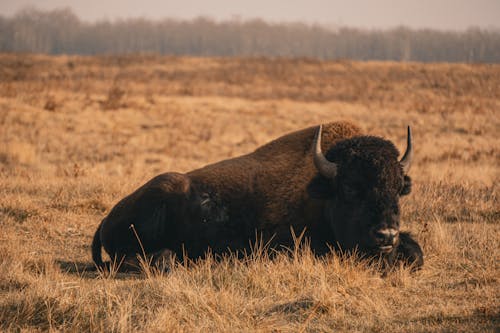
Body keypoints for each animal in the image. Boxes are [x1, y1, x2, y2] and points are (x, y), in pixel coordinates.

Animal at [90, 120, 422, 272]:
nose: (385, 235)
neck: (321, 190)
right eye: (351, 187)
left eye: (398, 188)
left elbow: (416, 251)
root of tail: (107, 218)